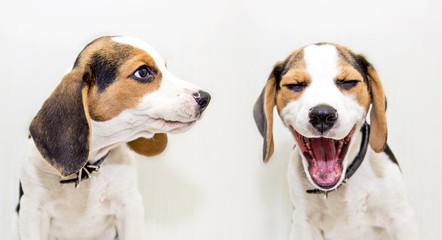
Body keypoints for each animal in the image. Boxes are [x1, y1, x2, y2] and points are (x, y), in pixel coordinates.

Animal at [17, 36, 211, 240]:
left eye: (166, 67)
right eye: (143, 72)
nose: (206, 98)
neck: (87, 168)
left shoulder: (130, 206)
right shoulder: (32, 210)